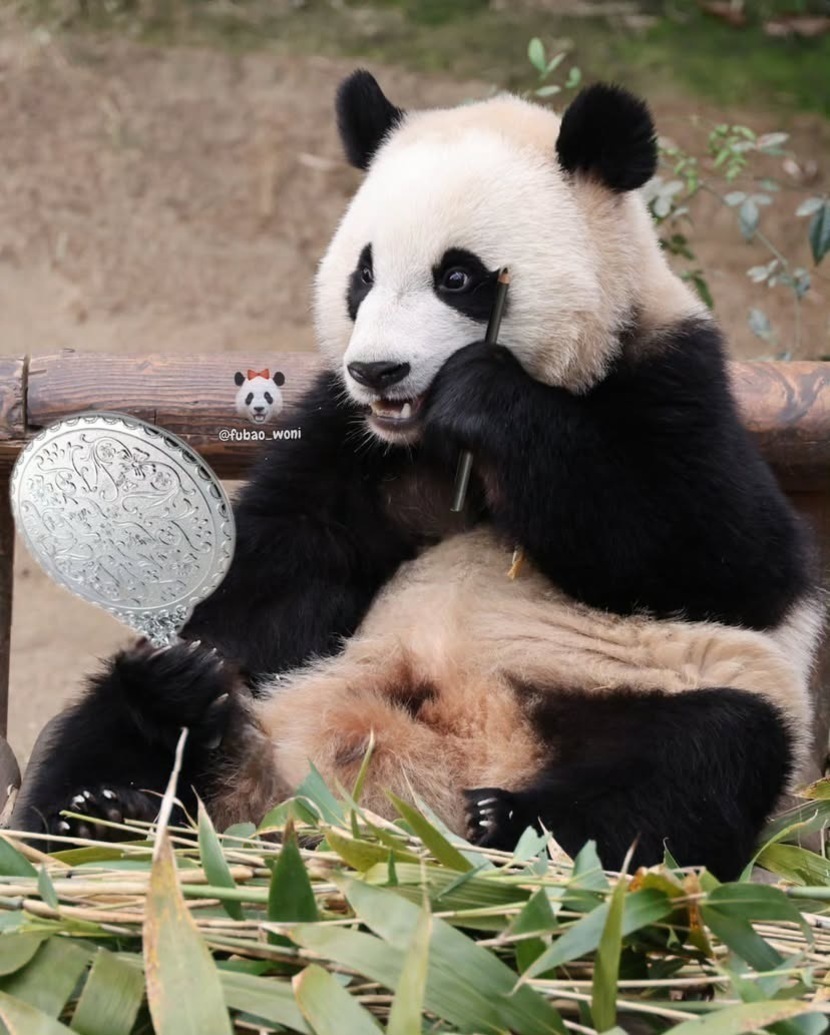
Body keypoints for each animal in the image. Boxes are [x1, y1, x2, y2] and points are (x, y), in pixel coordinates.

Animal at [15, 71, 822, 881]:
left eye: (457, 276)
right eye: (363, 273)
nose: (378, 371)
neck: (433, 443)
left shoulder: (674, 376)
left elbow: (730, 558)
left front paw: (486, 394)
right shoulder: (349, 437)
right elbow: (280, 567)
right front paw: (179, 679)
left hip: (652, 686)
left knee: (701, 756)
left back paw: (510, 822)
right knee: (107, 724)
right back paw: (122, 792)